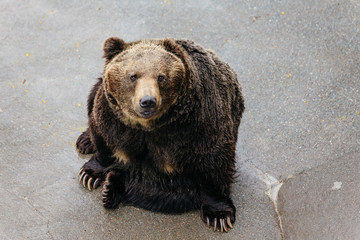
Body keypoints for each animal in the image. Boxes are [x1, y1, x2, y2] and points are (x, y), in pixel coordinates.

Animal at [76, 37, 245, 232]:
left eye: (161, 77)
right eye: (133, 76)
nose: (148, 101)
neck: (148, 126)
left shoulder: (196, 125)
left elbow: (214, 160)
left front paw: (219, 216)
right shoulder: (113, 118)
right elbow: (102, 137)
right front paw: (89, 174)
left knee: (171, 195)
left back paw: (113, 186)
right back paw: (86, 143)